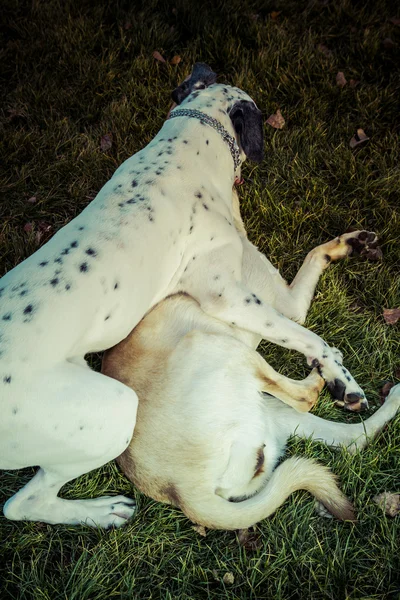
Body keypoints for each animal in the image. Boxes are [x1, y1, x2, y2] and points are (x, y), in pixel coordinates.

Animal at [0, 63, 378, 528]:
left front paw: (351, 245)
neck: (183, 150)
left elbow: (312, 266)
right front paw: (343, 379)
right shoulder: (229, 298)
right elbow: (308, 337)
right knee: (22, 503)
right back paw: (103, 511)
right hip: (117, 408)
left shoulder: (275, 296)